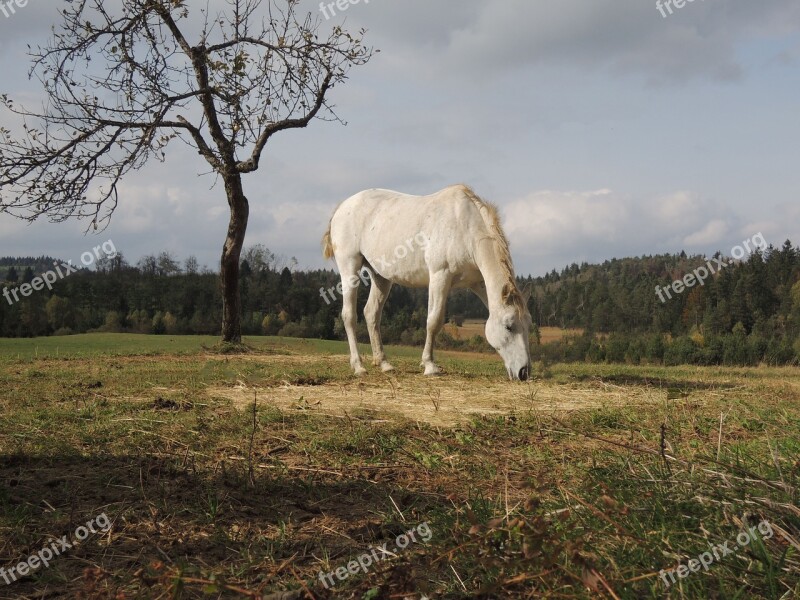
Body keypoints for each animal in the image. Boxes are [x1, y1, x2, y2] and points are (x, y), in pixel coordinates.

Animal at [318, 184, 532, 380]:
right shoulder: (440, 276)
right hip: (349, 268)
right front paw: (430, 366)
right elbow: (434, 321)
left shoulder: (477, 283)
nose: (524, 372)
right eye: (509, 326)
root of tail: (342, 207)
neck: (465, 226)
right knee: (349, 316)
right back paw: (358, 366)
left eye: (528, 325)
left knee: (371, 314)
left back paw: (384, 363)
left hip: (381, 277)